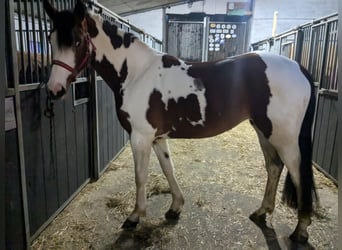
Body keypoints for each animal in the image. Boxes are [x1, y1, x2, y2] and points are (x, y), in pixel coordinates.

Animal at [42, 0, 318, 242]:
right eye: (50, 40)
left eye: (77, 41)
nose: (54, 89)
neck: (136, 73)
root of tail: (299, 68)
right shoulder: (157, 138)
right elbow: (168, 169)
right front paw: (175, 207)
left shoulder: (140, 137)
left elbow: (140, 176)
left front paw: (134, 217)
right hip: (264, 130)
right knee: (274, 167)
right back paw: (262, 212)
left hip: (285, 138)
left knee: (297, 174)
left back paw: (301, 231)